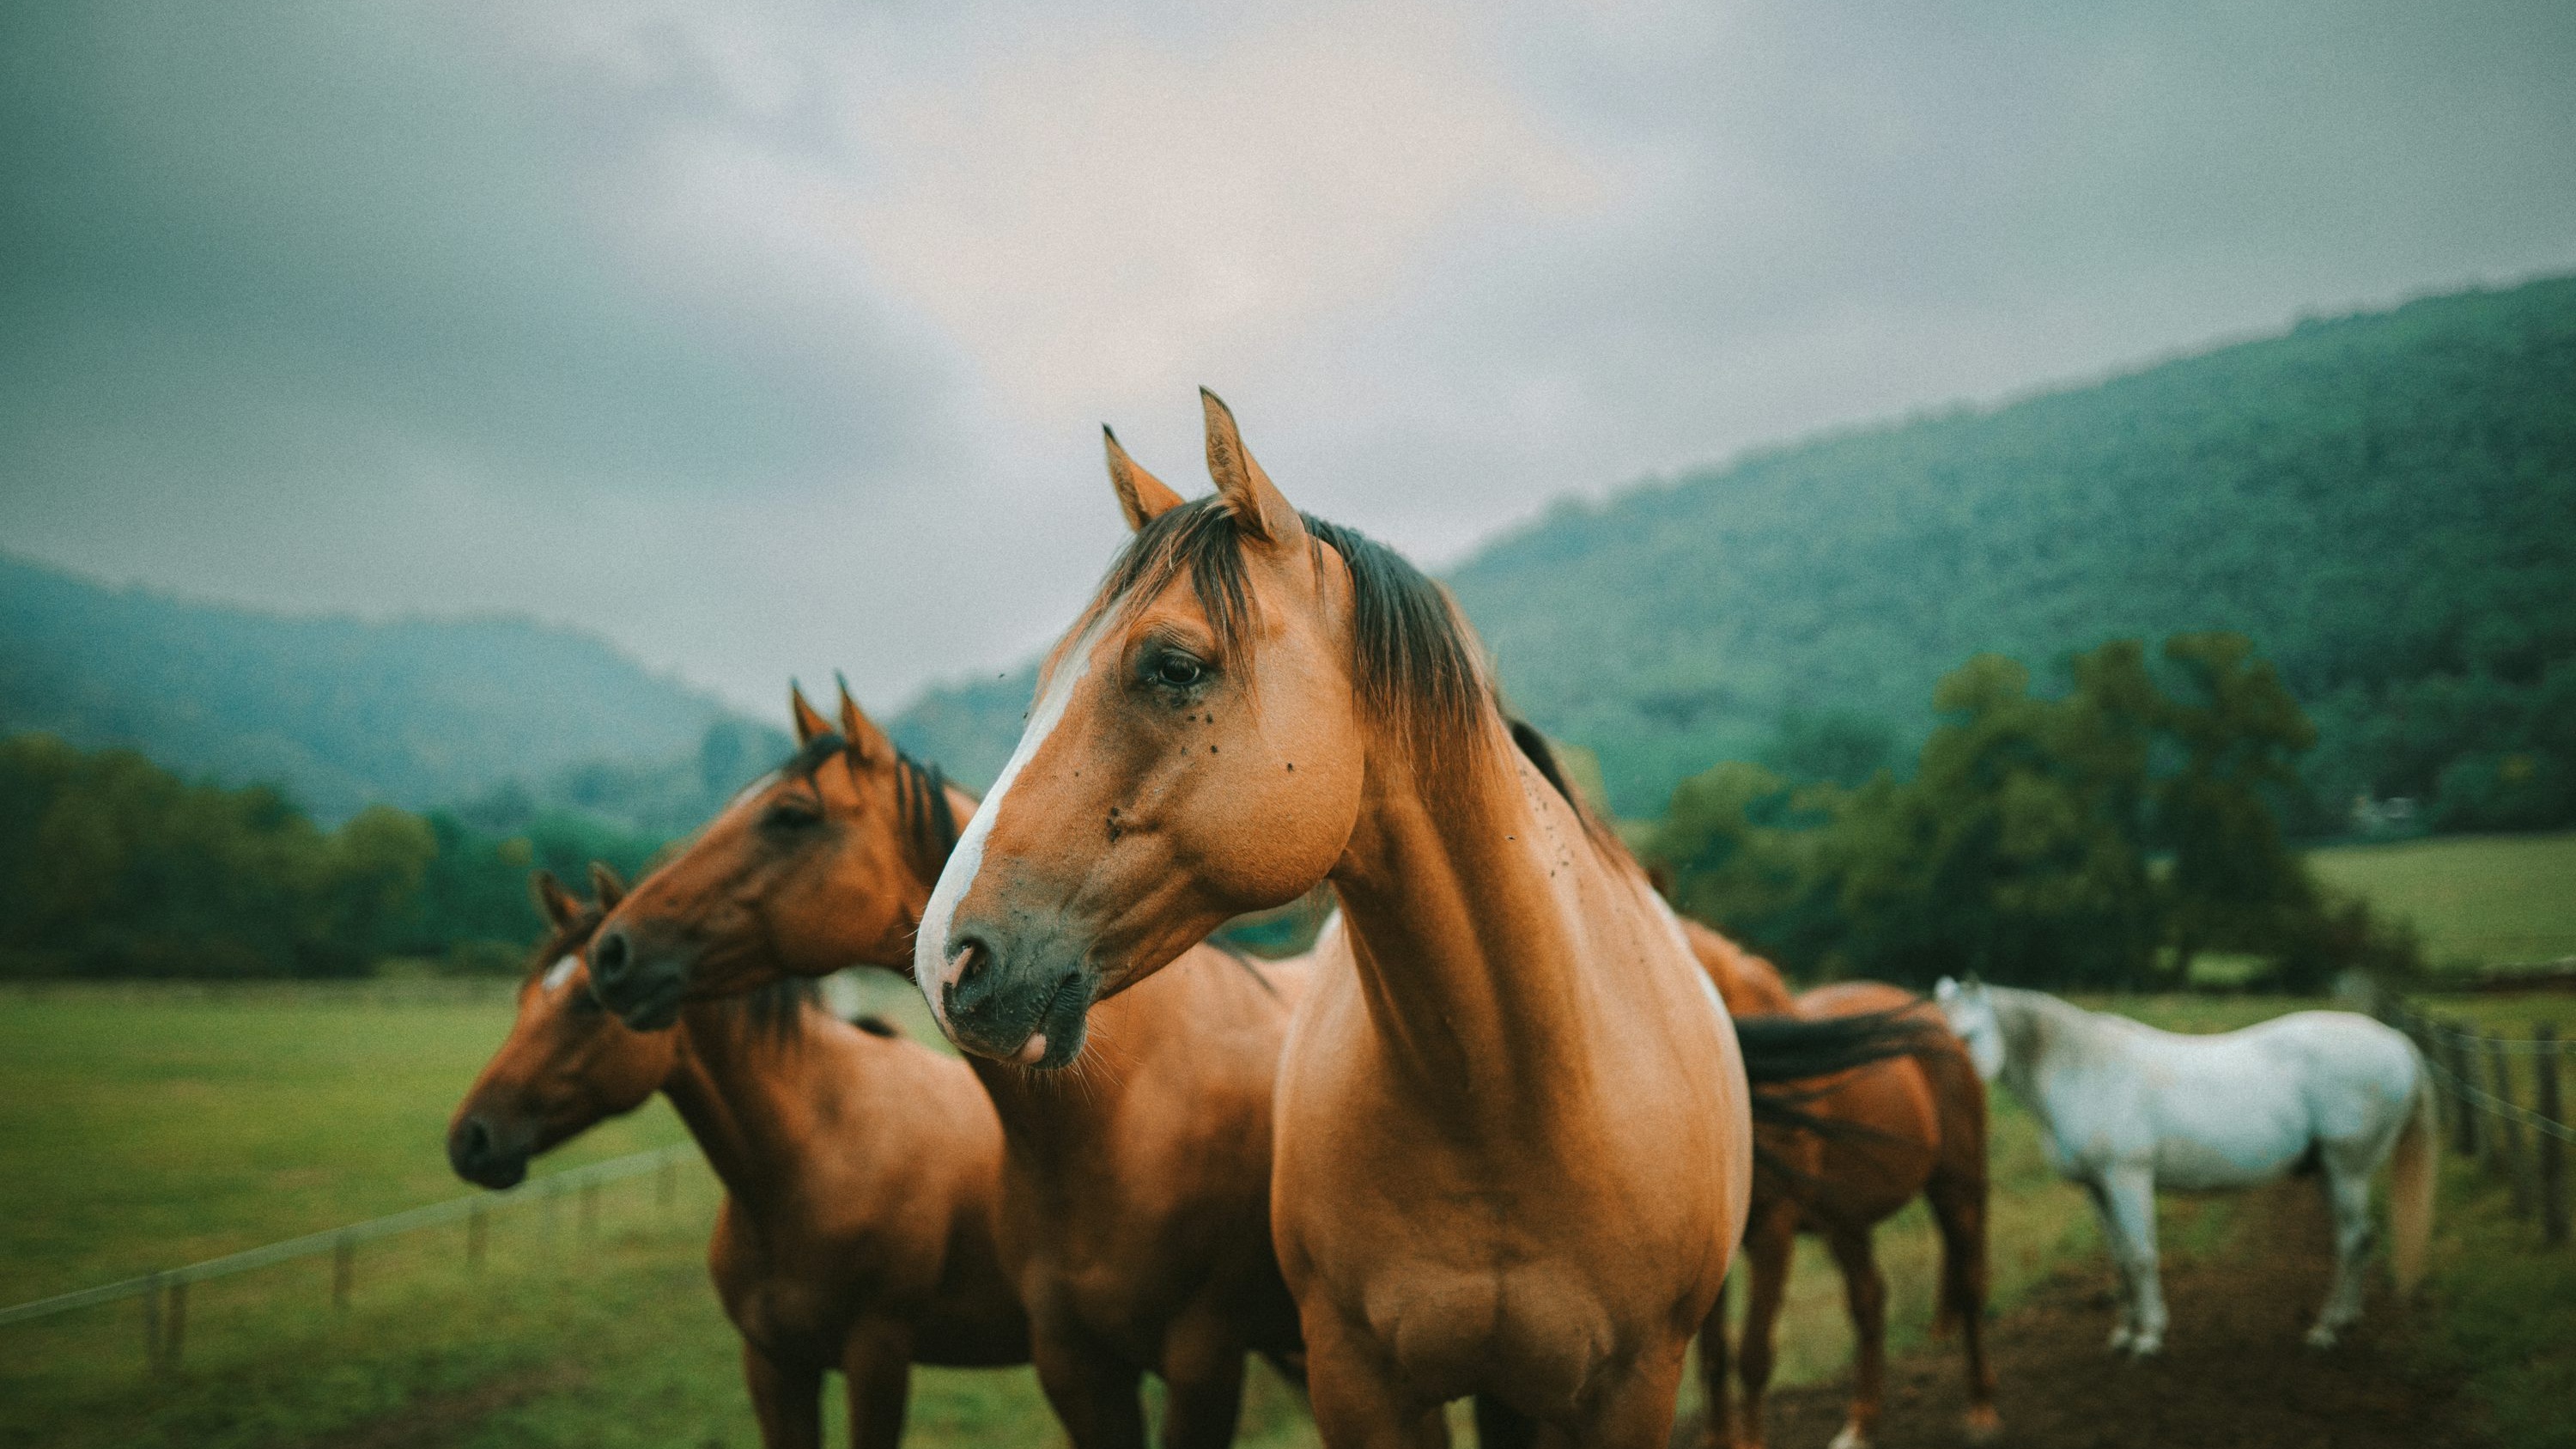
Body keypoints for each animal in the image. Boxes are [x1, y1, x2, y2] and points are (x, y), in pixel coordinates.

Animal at [446, 868, 1027, 1449]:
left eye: (590, 1001)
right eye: (523, 998)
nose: (469, 1139)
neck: (824, 1152)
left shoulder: (878, 1360)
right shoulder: (773, 1364)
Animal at [1682, 918, 1996, 1449]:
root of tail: (1939, 1025)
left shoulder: (1773, 1230)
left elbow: (1752, 1356)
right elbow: (1713, 1358)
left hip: (1955, 1190)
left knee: (1970, 1285)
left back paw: (1981, 1410)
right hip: (1846, 1222)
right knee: (1870, 1301)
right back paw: (1860, 1426)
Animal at [1932, 978, 2436, 1356]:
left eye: (1966, 1037)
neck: (2085, 1070)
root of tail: (2400, 1044)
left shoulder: (2128, 1178)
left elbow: (2141, 1255)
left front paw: (2149, 1337)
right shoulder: (2098, 1188)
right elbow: (2120, 1258)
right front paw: (2124, 1333)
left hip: (2347, 1170)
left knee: (2353, 1240)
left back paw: (2327, 1331)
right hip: (2331, 1173)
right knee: (2358, 1240)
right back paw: (2345, 1320)